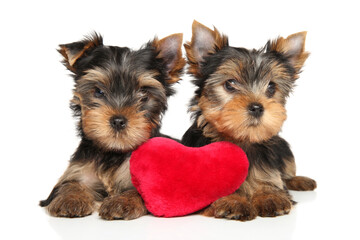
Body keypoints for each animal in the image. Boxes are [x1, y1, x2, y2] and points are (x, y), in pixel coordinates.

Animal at [39, 31, 186, 219]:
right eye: (98, 91)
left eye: (143, 94)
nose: (118, 120)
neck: (113, 151)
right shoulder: (79, 170)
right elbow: (69, 183)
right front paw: (71, 199)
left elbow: (141, 192)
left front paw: (122, 201)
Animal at [181, 21, 316, 220]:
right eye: (230, 84)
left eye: (271, 87)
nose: (257, 107)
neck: (241, 140)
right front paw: (234, 201)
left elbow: (271, 181)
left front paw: (269, 196)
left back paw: (300, 180)